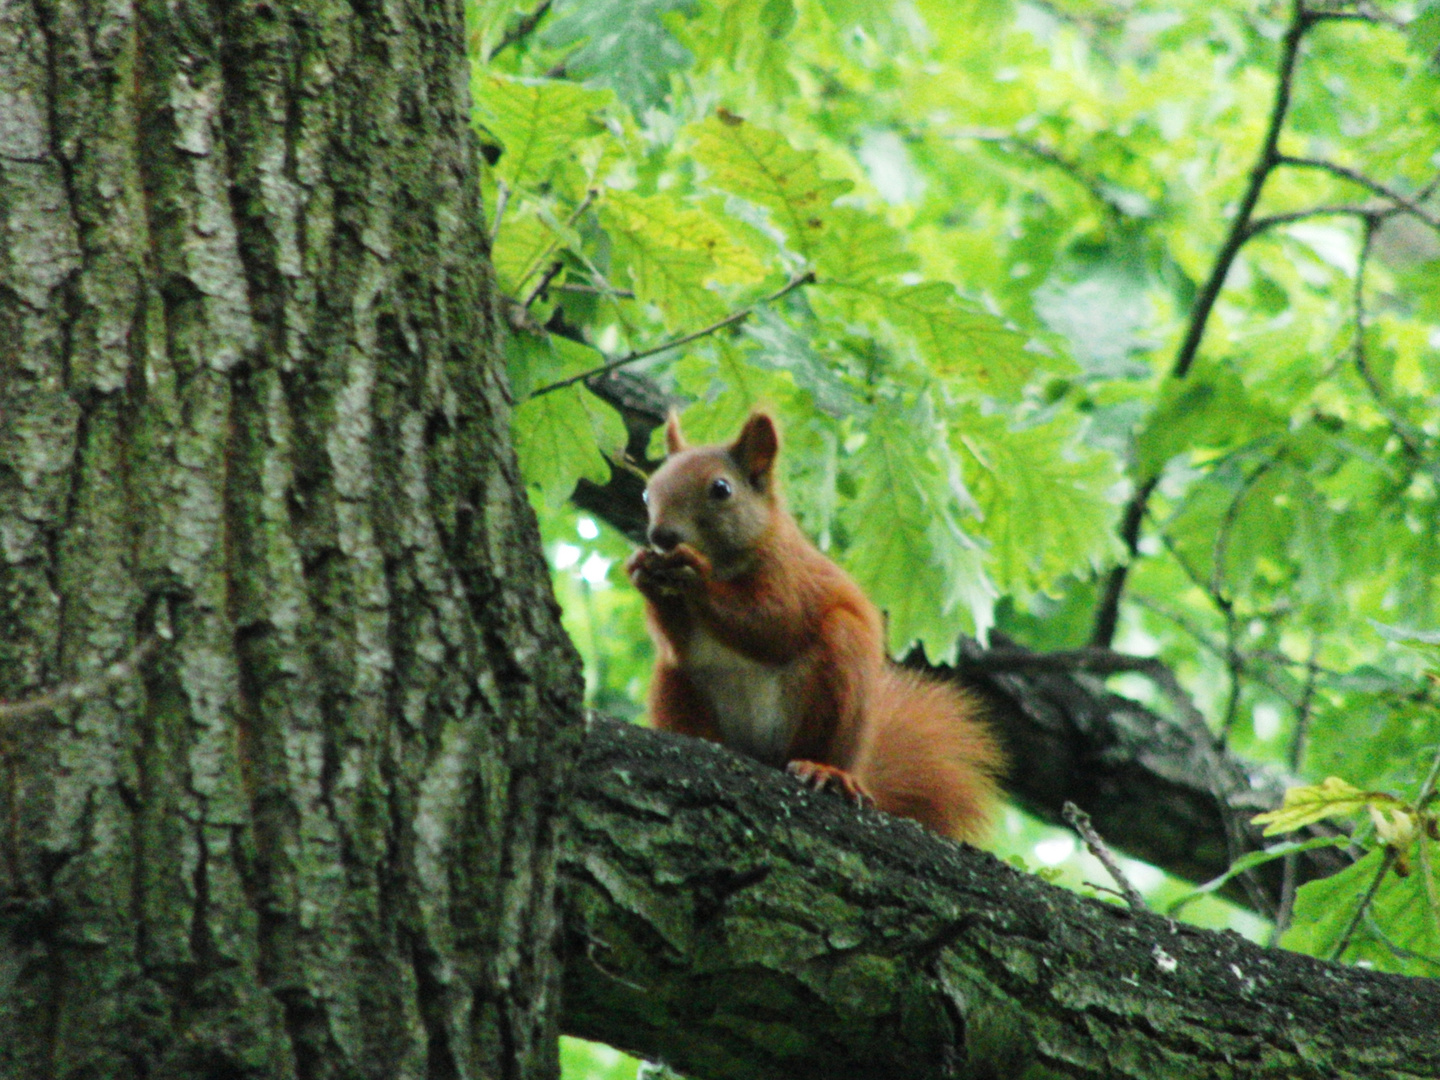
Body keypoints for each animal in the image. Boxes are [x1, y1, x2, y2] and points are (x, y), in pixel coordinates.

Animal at [624, 408, 1008, 840]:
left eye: (721, 489)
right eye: (647, 492)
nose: (661, 536)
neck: (727, 562)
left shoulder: (790, 576)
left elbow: (771, 624)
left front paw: (696, 573)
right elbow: (680, 643)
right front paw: (643, 573)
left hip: (838, 676)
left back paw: (824, 771)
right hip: (674, 685)